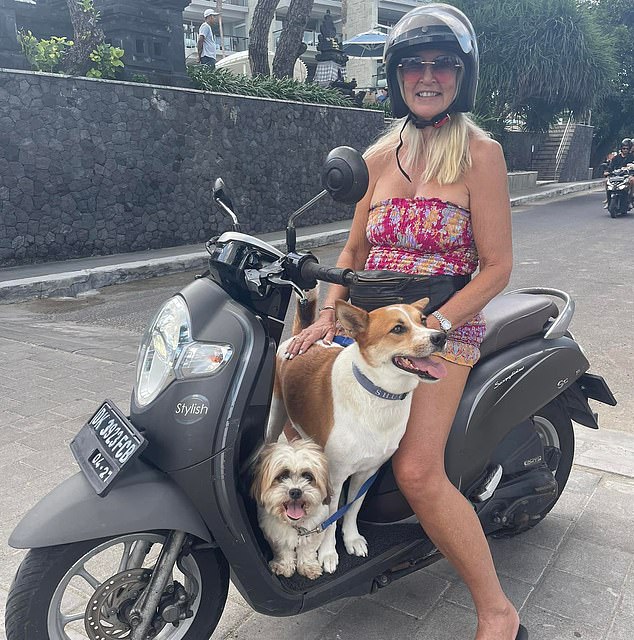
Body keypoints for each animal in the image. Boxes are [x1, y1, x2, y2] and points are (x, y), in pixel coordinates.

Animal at [251, 440, 334, 580]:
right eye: (283, 476)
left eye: (308, 476)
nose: (295, 491)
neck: (295, 524)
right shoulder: (275, 534)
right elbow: (283, 550)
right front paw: (284, 565)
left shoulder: (314, 531)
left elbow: (307, 550)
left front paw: (307, 566)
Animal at [266, 298, 444, 572]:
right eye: (398, 329)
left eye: (423, 321)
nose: (441, 337)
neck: (376, 393)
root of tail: (300, 334)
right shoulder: (334, 476)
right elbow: (329, 519)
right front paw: (328, 553)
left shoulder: (368, 471)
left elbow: (352, 509)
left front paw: (351, 539)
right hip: (276, 414)